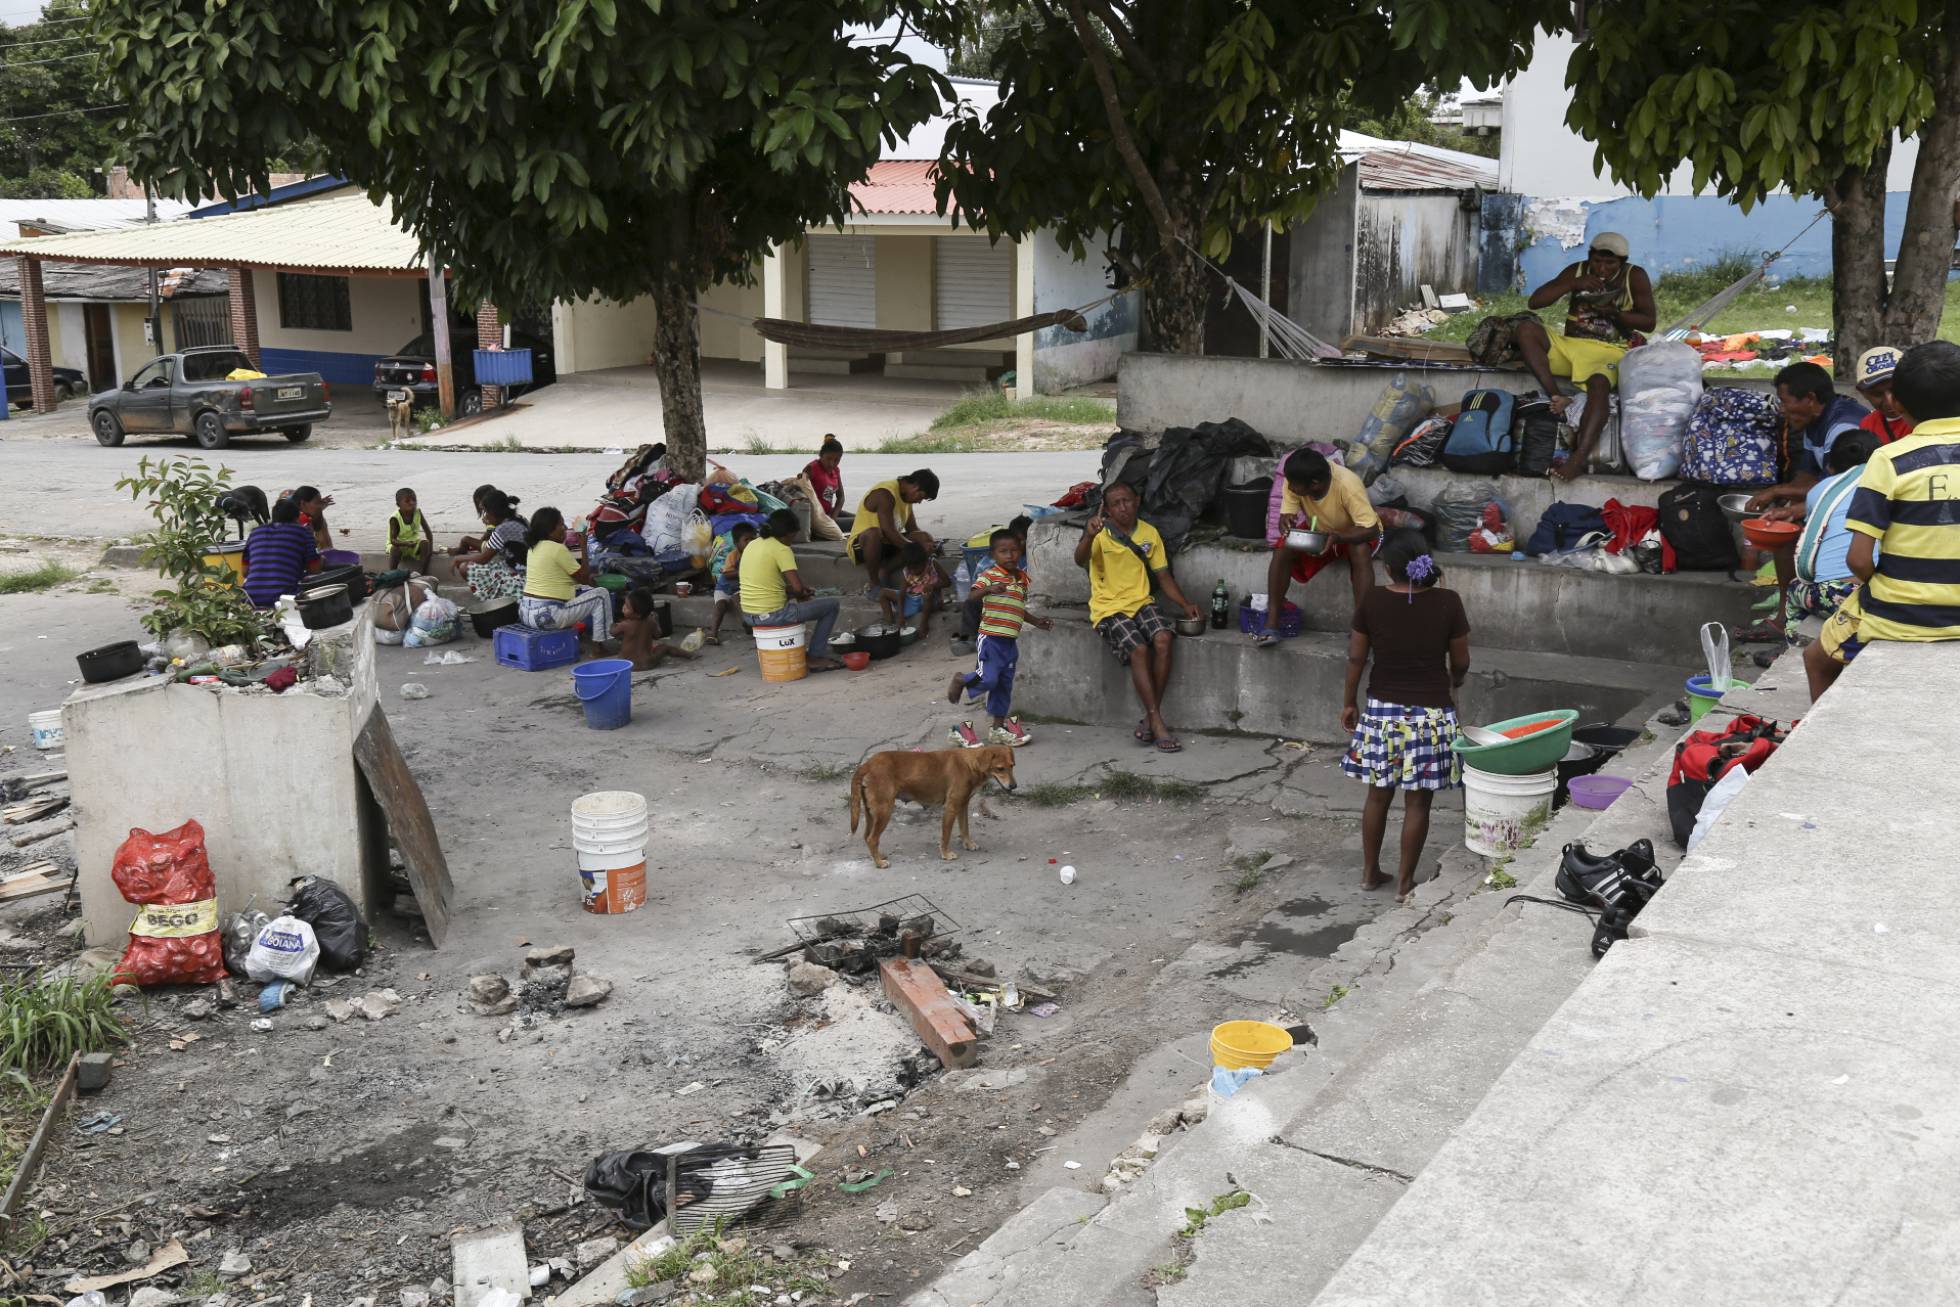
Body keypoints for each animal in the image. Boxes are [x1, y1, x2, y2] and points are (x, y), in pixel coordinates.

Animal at [850, 744, 1019, 870]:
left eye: (1012, 766)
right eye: (1000, 768)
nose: (1014, 786)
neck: (970, 764)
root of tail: (867, 764)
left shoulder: (963, 805)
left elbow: (965, 829)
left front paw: (968, 844)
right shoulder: (951, 807)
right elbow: (946, 835)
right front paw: (946, 854)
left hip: (872, 812)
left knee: (867, 836)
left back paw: (878, 856)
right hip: (884, 810)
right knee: (872, 839)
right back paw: (879, 863)